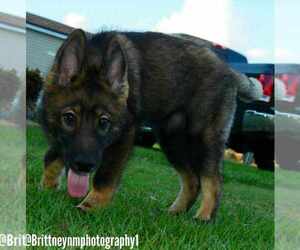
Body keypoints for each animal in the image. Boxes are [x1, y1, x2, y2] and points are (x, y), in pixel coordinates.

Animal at [38, 29, 262, 221]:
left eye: (104, 122)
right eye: (69, 118)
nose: (84, 166)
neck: (94, 57)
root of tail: (229, 70)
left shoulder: (123, 136)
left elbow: (104, 177)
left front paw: (89, 207)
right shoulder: (63, 142)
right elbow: (51, 158)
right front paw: (46, 188)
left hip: (204, 139)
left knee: (213, 180)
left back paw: (204, 218)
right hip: (171, 140)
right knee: (193, 180)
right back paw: (174, 213)